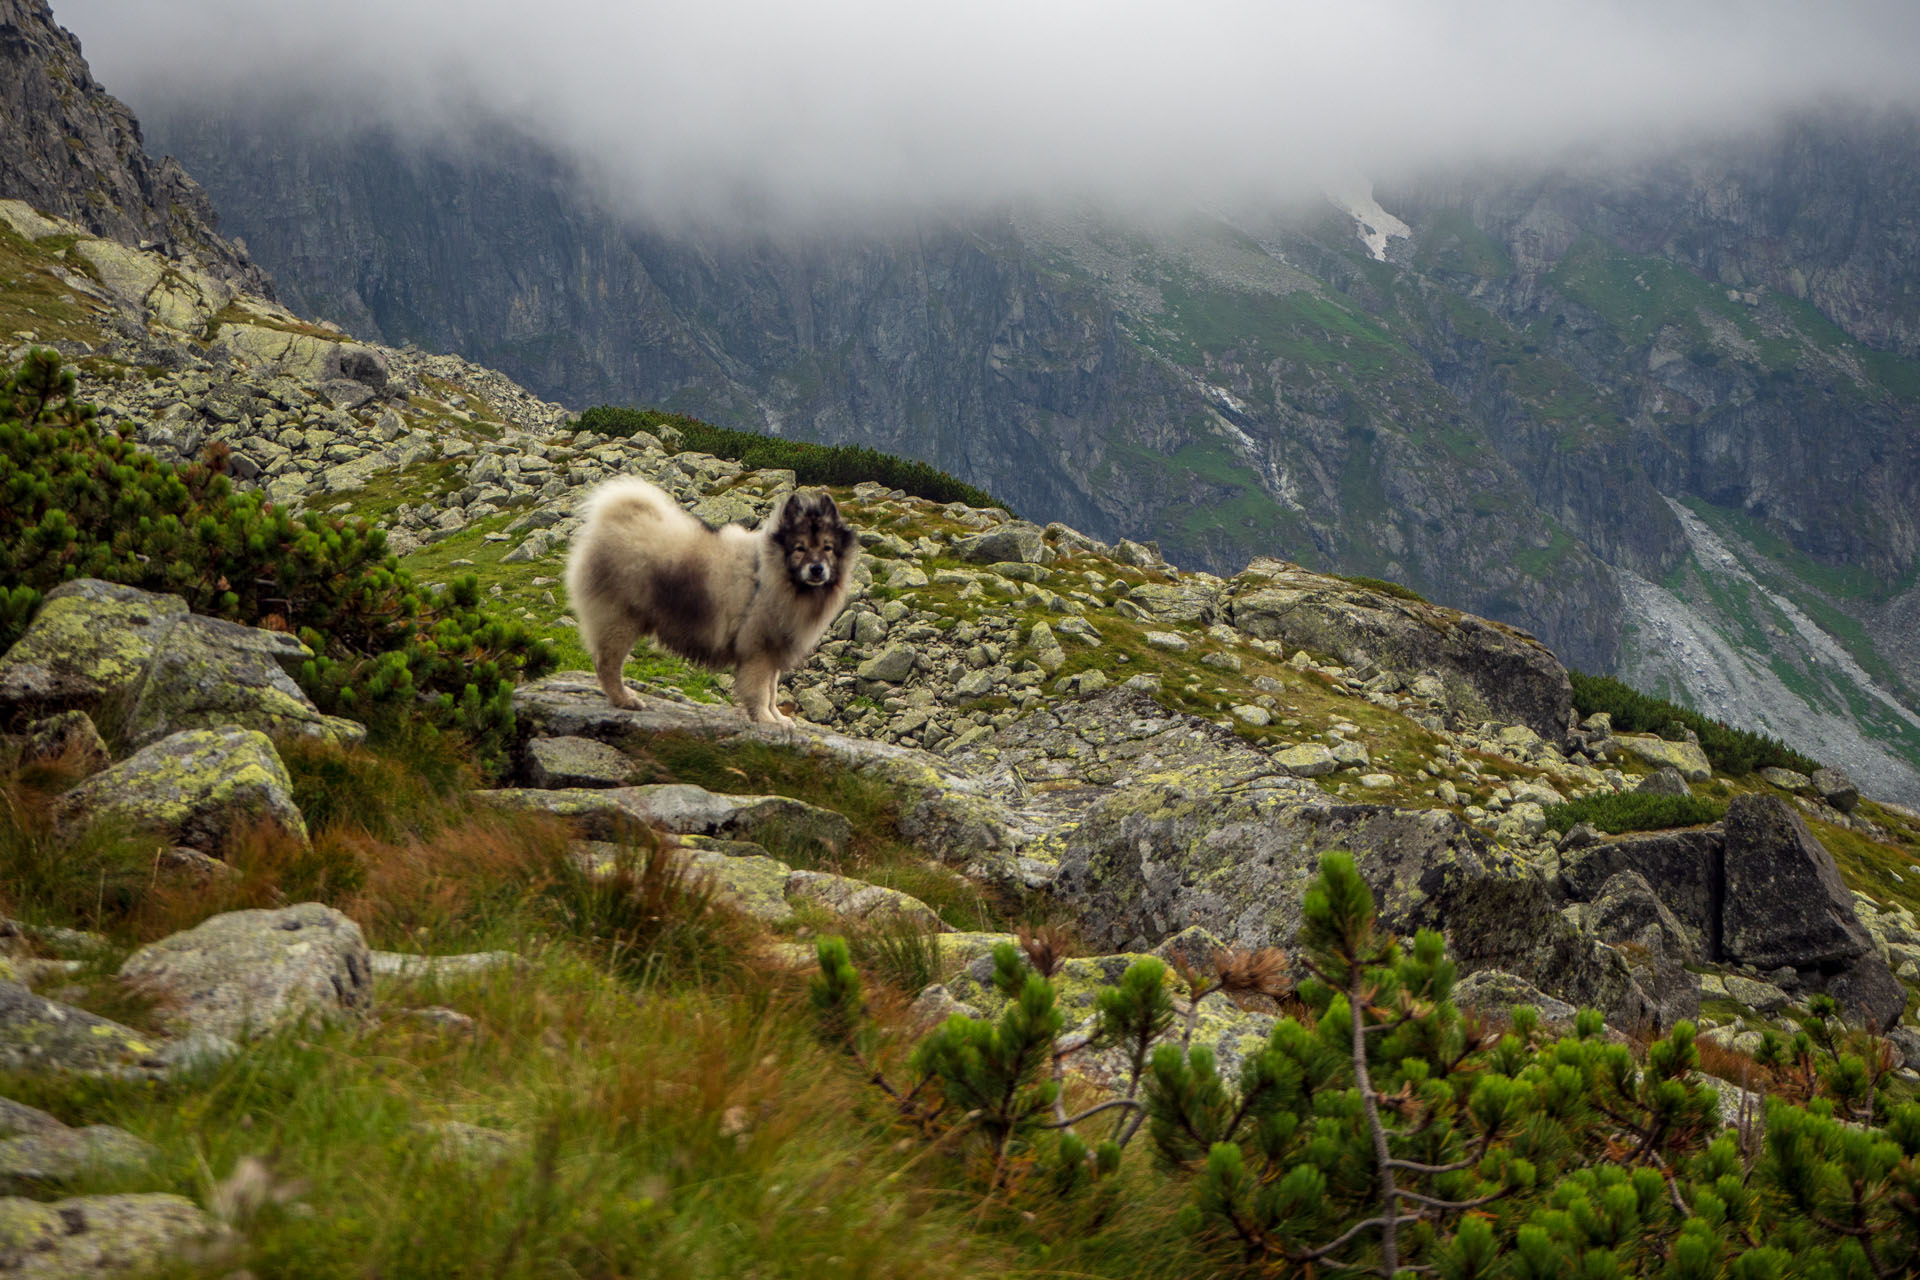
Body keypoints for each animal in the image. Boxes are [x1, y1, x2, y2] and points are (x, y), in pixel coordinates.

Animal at [564, 477, 860, 721]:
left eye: (828, 548)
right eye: (800, 548)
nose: (817, 569)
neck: (769, 574)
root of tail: (614, 522)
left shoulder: (774, 649)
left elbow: (773, 691)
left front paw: (778, 718)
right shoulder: (758, 652)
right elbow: (761, 691)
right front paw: (765, 720)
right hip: (621, 621)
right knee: (607, 665)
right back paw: (624, 699)